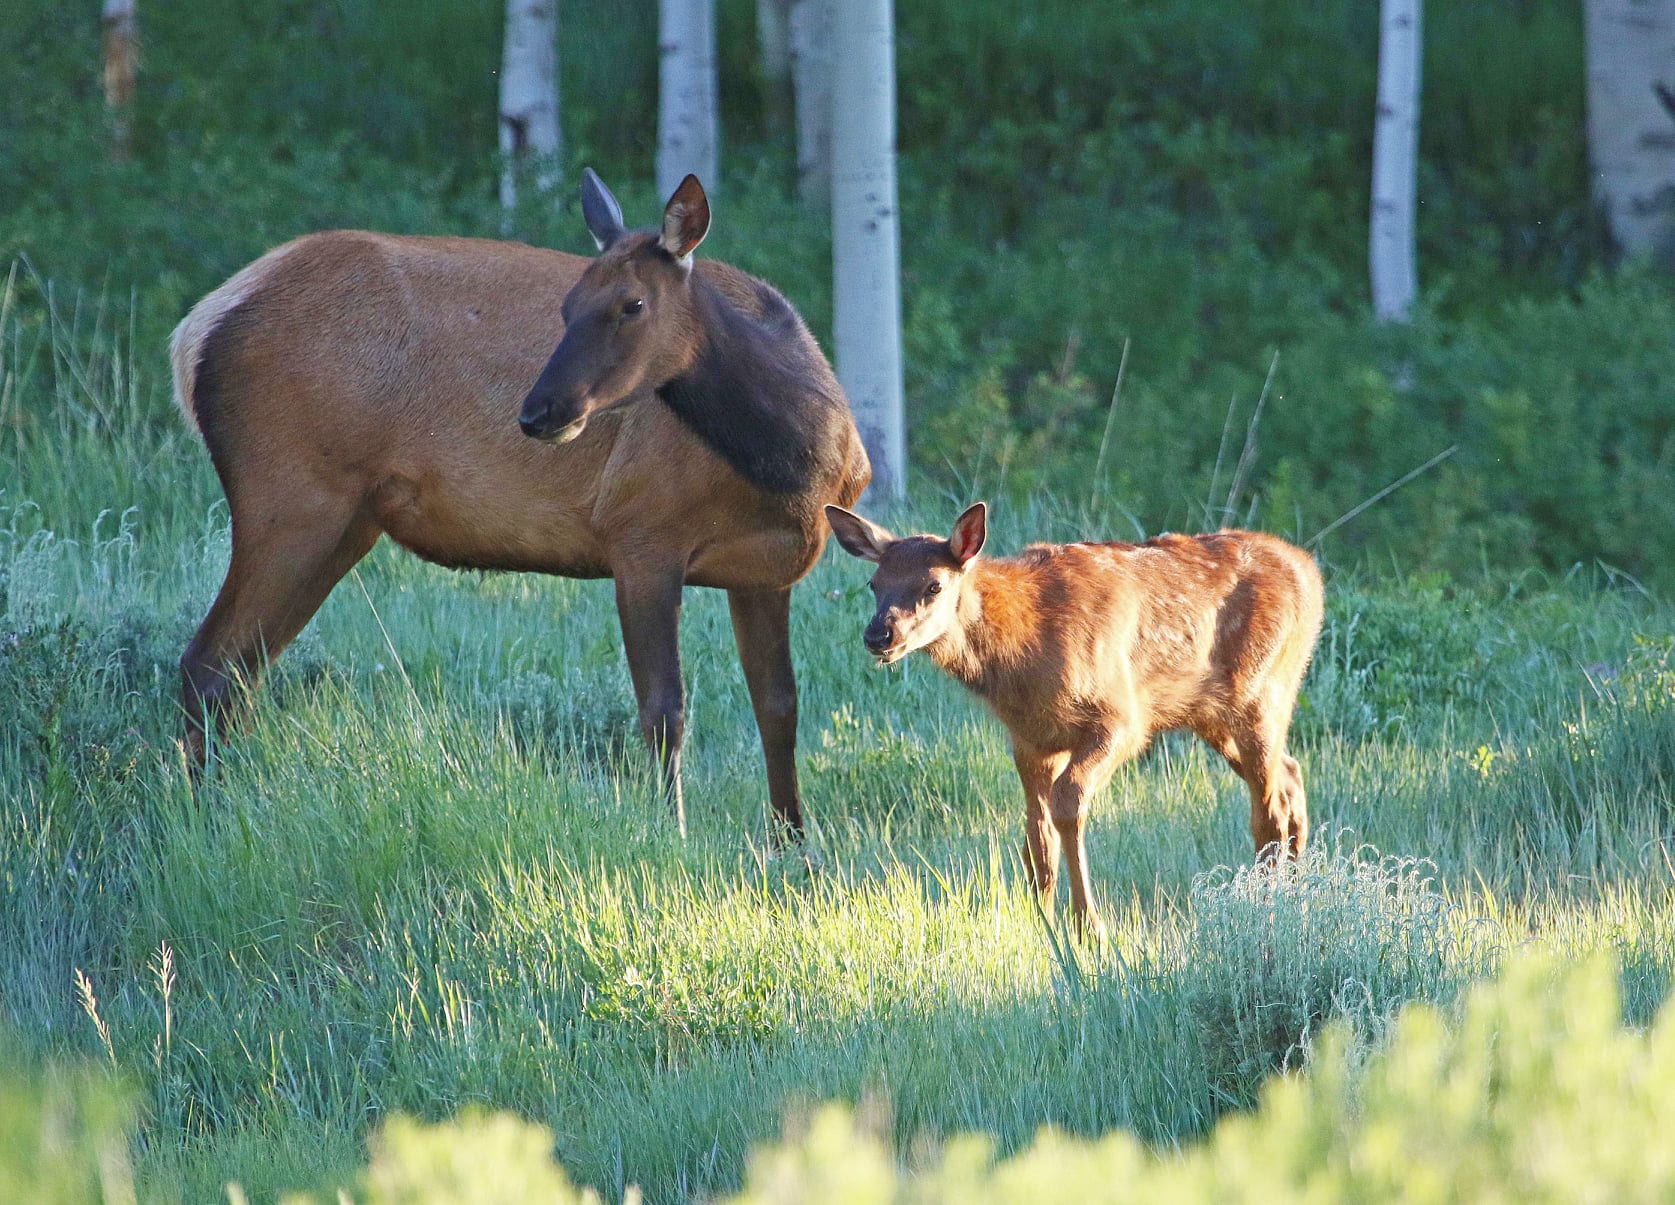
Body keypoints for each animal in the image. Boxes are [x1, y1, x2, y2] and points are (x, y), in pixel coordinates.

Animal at [170, 171, 871, 837]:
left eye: (633, 303)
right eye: (566, 306)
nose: (539, 411)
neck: (796, 462)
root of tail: (193, 333)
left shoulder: (764, 571)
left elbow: (778, 705)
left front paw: (794, 843)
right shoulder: (641, 534)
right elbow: (664, 709)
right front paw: (670, 833)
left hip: (346, 522)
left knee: (242, 672)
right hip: (291, 497)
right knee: (208, 663)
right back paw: (206, 820)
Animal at [824, 502, 1319, 938]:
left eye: (933, 586)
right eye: (874, 582)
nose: (878, 635)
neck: (1024, 652)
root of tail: (1311, 571)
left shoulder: (1122, 718)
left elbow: (1068, 804)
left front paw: (1088, 927)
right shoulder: (1029, 739)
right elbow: (1036, 834)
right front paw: (1040, 923)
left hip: (1262, 691)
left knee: (1269, 810)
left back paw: (1265, 902)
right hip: (1215, 716)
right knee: (1290, 775)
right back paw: (1295, 889)